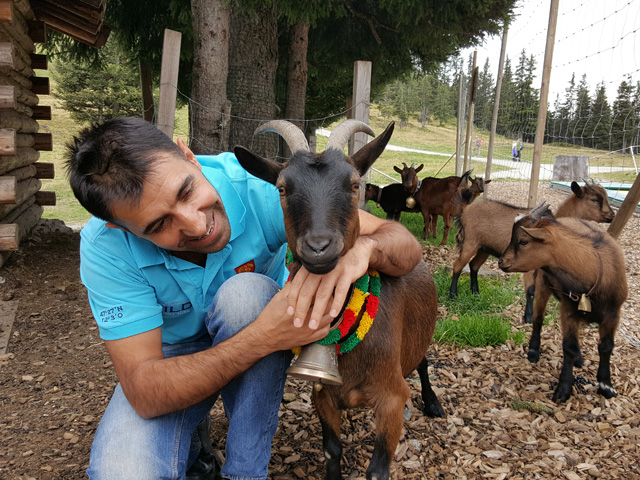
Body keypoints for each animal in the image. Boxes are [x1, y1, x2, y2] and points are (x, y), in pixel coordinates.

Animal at [235, 119, 444, 480]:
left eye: (354, 184)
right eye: (282, 188)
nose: (319, 246)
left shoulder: (392, 399)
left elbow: (377, 470)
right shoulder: (323, 394)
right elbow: (332, 450)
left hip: (420, 336)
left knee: (422, 361)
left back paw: (432, 403)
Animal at [450, 181, 616, 300]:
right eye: (594, 199)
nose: (611, 215)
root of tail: (465, 212)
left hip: (484, 248)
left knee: (474, 265)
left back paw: (475, 293)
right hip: (471, 242)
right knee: (458, 265)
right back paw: (453, 295)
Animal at [498, 204, 628, 404]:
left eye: (523, 241)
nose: (501, 262)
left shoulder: (613, 314)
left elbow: (606, 347)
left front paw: (606, 386)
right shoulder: (568, 310)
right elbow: (569, 347)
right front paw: (563, 389)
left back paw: (579, 359)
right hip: (543, 284)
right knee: (538, 319)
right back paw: (534, 351)